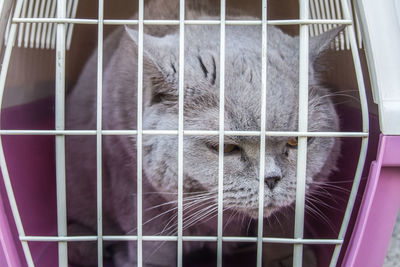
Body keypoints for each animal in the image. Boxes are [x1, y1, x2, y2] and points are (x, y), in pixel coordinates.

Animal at [65, 12, 340, 266]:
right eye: (226, 147)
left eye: (295, 142)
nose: (271, 179)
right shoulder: (137, 192)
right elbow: (155, 247)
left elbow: (282, 229)